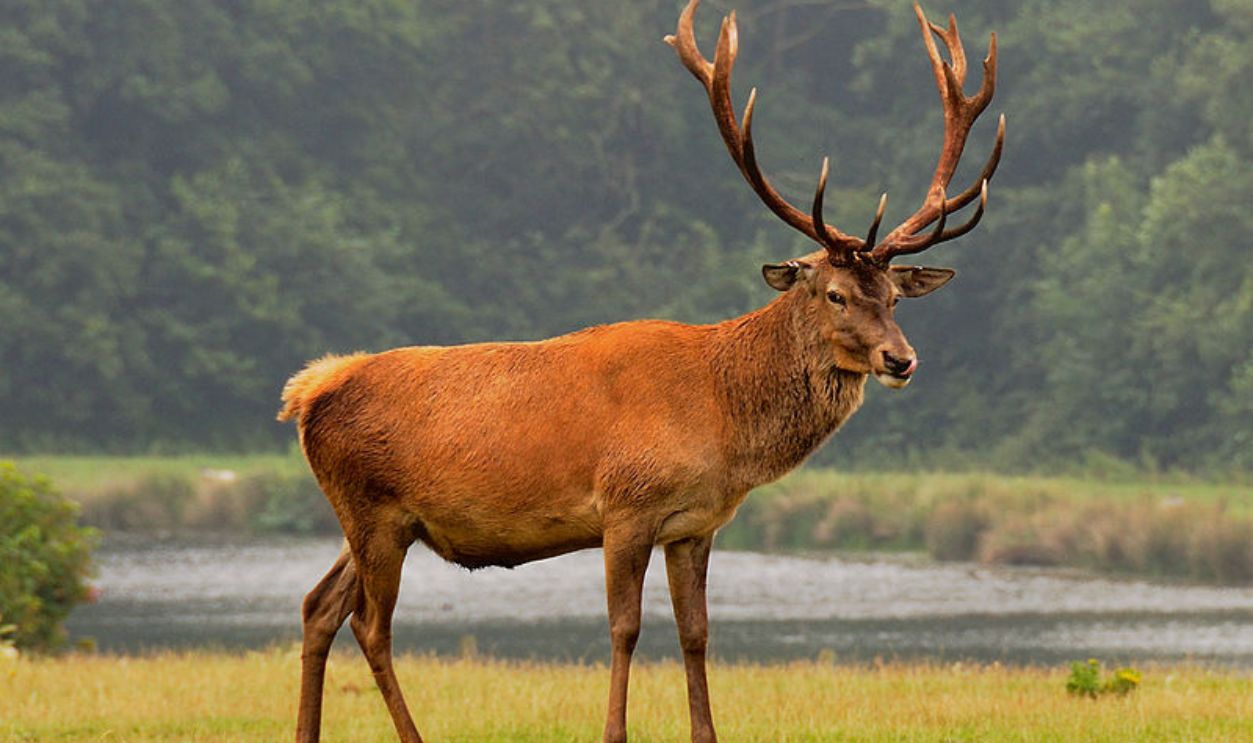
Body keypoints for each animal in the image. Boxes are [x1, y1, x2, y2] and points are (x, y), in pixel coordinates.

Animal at [279, 1, 1002, 741]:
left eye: (893, 297)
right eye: (833, 293)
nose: (900, 358)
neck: (722, 415)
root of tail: (306, 392)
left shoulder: (696, 524)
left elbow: (696, 633)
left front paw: (706, 731)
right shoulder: (625, 505)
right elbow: (624, 628)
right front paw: (614, 731)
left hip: (375, 519)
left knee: (318, 604)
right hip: (372, 509)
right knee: (370, 625)